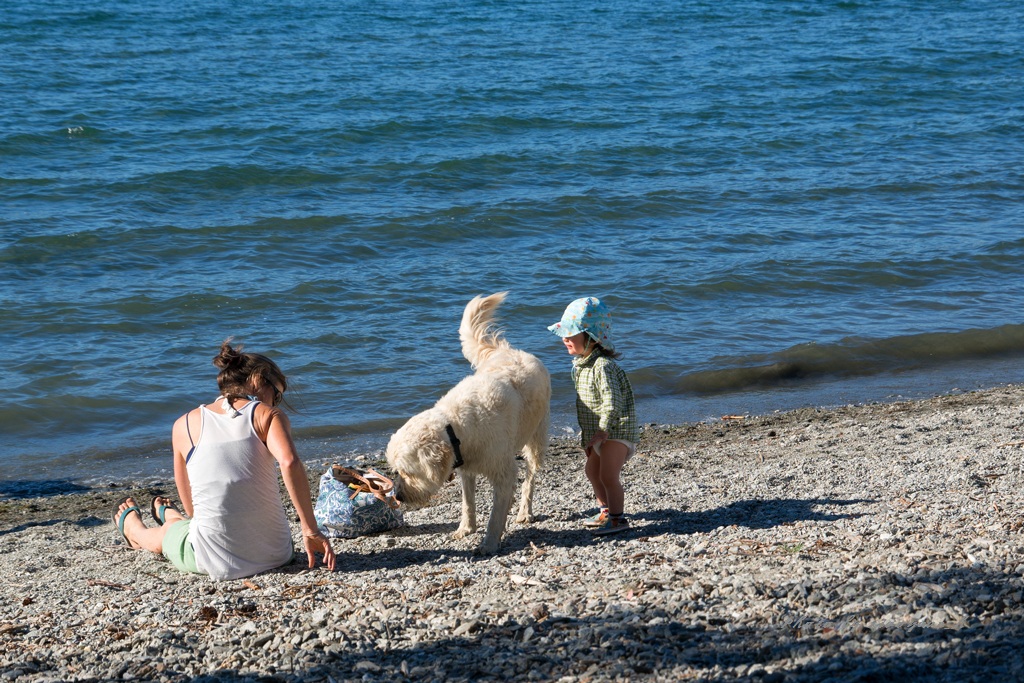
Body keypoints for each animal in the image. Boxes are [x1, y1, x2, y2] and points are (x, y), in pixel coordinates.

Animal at [387, 290, 552, 552]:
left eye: (408, 472)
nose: (399, 496)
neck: (455, 424)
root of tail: (509, 350)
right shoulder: (465, 467)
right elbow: (467, 501)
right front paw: (466, 528)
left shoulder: (503, 472)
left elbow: (496, 513)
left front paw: (489, 543)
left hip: (536, 438)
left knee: (530, 478)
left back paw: (525, 511)